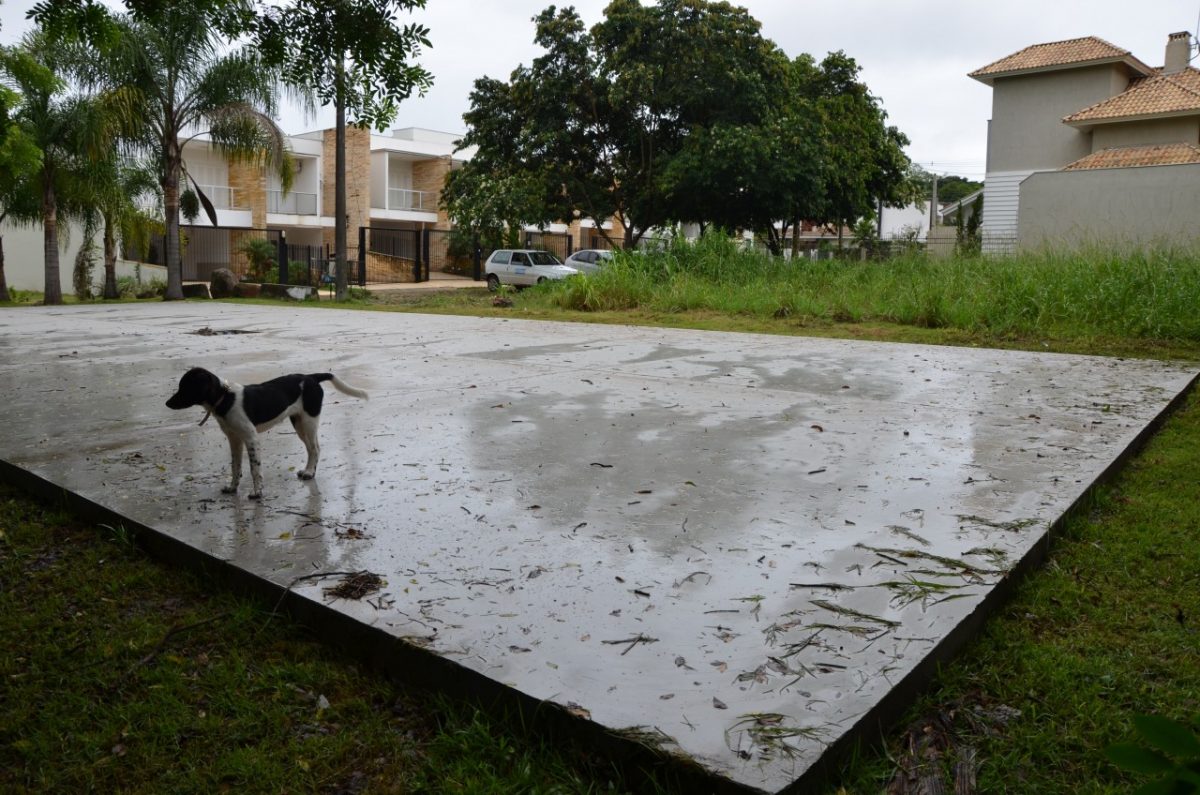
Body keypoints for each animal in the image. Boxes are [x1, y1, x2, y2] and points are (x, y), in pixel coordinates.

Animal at [166, 367, 367, 499]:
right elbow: (235, 467)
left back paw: (310, 473)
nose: (167, 404)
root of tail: (311, 377)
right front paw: (232, 488)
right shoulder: (234, 439)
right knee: (312, 449)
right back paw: (307, 471)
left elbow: (254, 469)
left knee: (315, 448)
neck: (225, 398)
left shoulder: (251, 438)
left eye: (185, 387)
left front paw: (257, 492)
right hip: (299, 423)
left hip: (309, 421)